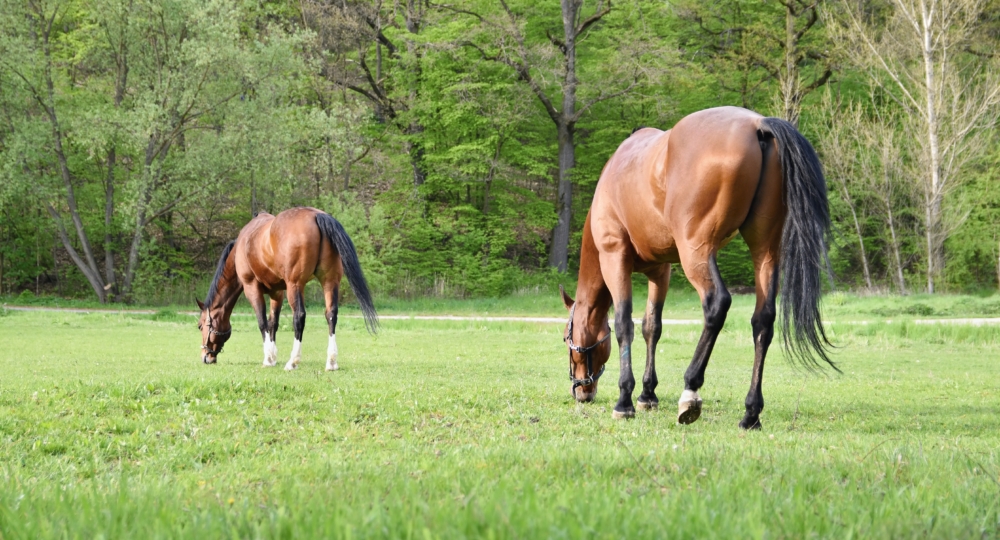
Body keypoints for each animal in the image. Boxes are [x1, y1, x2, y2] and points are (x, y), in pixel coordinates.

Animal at [196, 205, 378, 370]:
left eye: (200, 325)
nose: (206, 357)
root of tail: (317, 215)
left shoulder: (251, 287)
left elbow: (262, 322)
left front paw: (268, 358)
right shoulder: (277, 292)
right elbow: (272, 323)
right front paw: (273, 356)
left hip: (295, 285)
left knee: (299, 316)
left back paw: (293, 361)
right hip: (330, 281)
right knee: (331, 314)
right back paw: (331, 362)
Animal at [564, 106, 836, 430]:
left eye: (567, 339)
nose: (581, 391)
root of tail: (758, 125)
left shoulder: (614, 257)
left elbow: (623, 324)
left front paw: (625, 399)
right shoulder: (661, 271)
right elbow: (651, 327)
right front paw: (647, 394)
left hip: (696, 252)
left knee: (717, 304)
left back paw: (691, 391)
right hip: (765, 251)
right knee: (763, 320)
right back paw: (750, 413)